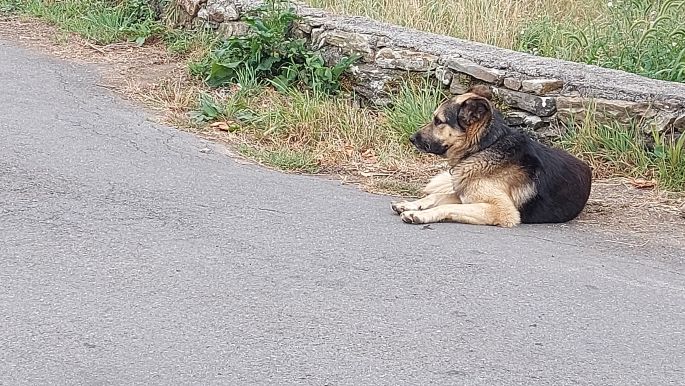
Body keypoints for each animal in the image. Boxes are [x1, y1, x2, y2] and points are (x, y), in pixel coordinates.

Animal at [392, 84, 592, 226]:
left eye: (438, 121)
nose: (411, 138)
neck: (484, 147)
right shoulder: (465, 195)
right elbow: (437, 197)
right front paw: (411, 204)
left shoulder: (501, 210)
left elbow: (447, 205)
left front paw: (419, 214)